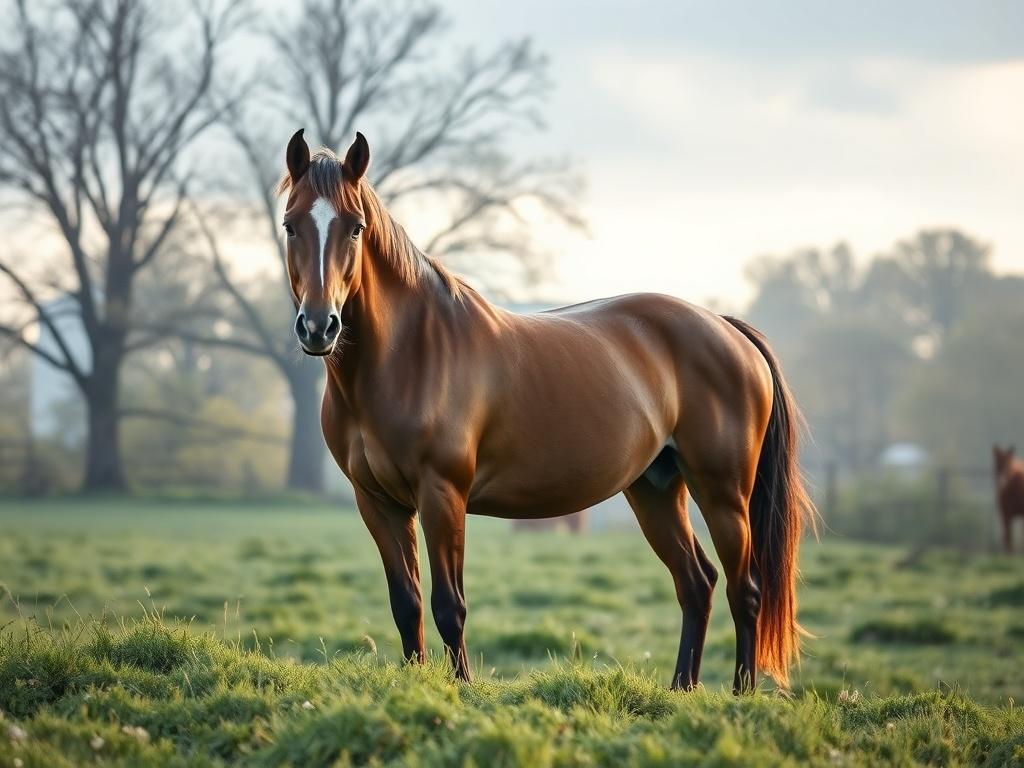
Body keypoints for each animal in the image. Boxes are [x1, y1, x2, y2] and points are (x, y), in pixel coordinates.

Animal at [276, 129, 815, 692]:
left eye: (355, 227)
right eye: (290, 224)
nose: (319, 327)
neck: (409, 354)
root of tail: (728, 328)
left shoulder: (442, 494)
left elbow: (449, 606)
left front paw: (461, 690)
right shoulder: (378, 502)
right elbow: (407, 604)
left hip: (723, 491)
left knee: (743, 589)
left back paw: (740, 694)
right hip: (656, 488)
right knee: (697, 583)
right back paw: (681, 690)